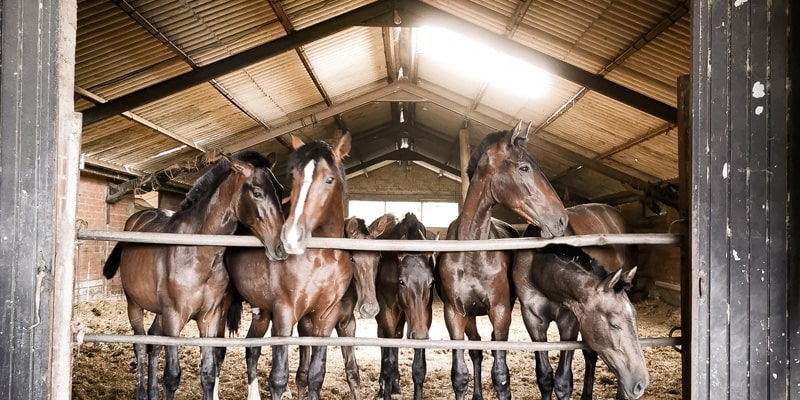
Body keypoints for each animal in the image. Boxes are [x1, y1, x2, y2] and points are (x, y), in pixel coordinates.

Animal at [101, 152, 288, 400]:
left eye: (280, 190)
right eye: (257, 192)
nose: (281, 246)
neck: (197, 253)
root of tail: (136, 219)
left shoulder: (210, 317)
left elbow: (208, 373)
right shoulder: (173, 317)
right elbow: (172, 376)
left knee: (153, 340)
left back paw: (152, 393)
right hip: (134, 304)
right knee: (140, 344)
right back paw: (141, 393)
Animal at [223, 134, 352, 400]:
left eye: (329, 179)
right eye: (294, 176)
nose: (291, 237)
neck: (321, 259)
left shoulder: (326, 317)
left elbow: (316, 375)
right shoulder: (284, 313)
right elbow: (278, 377)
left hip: (262, 312)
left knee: (252, 349)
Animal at [376, 212, 438, 400]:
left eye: (431, 282)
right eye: (402, 281)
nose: (419, 333)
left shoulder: (425, 316)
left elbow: (418, 369)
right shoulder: (387, 312)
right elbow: (388, 363)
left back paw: (395, 388)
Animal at [434, 122, 572, 400]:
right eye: (524, 168)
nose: (561, 219)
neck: (473, 252)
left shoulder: (500, 311)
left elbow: (501, 376)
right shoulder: (454, 313)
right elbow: (459, 375)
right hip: (470, 316)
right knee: (476, 350)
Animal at [520, 205, 640, 398]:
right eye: (614, 324)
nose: (640, 381)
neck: (537, 268)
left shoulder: (570, 321)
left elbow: (563, 381)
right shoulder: (533, 320)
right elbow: (545, 377)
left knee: (591, 355)